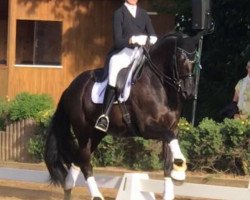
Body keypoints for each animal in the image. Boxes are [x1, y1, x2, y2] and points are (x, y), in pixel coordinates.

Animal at [45, 32, 200, 199]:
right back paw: (96, 195)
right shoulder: (147, 128)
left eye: (195, 59)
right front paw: (180, 167)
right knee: (85, 163)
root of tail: (70, 87)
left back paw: (68, 186)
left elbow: (167, 161)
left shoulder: (172, 127)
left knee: (79, 159)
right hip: (83, 131)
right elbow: (170, 139)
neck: (159, 84)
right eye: (180, 57)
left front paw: (174, 181)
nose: (189, 92)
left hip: (96, 134)